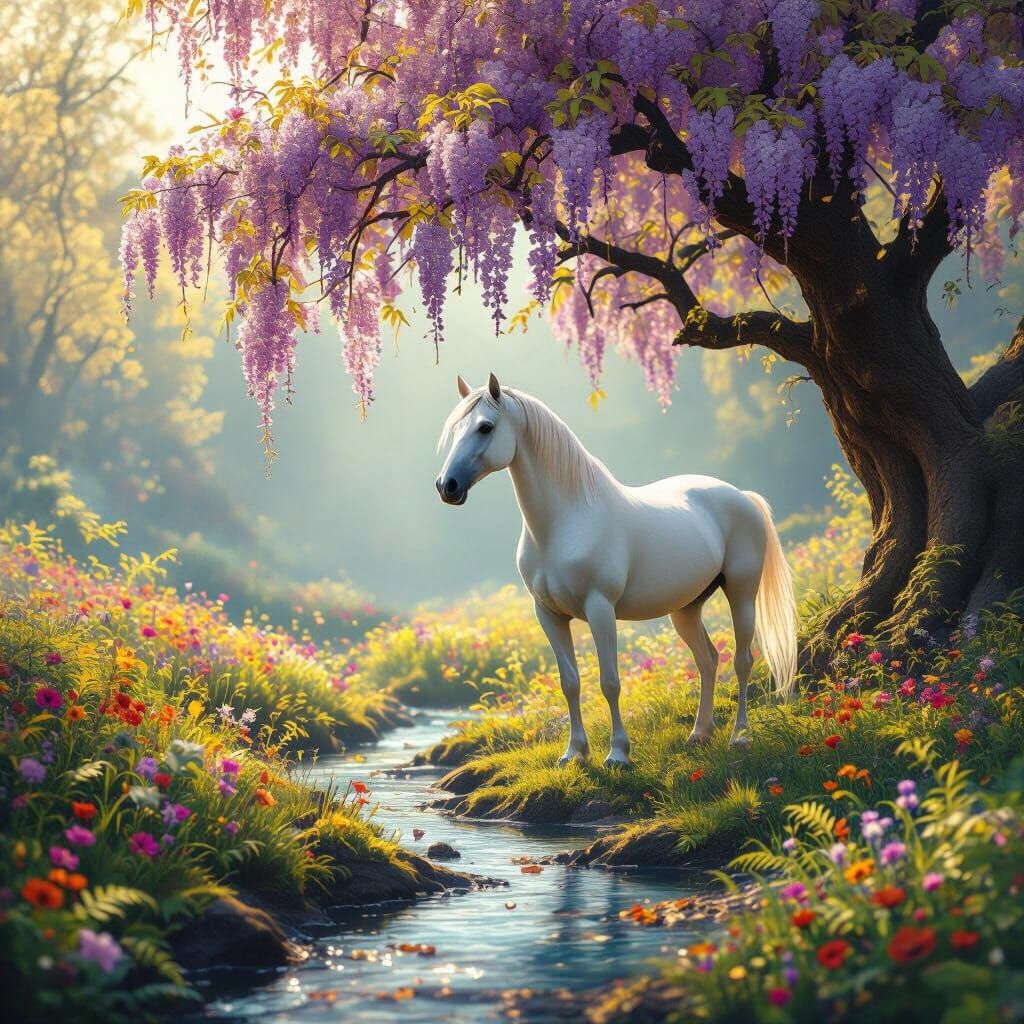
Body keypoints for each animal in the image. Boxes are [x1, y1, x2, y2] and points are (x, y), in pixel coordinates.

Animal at [435, 373, 798, 768]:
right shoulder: (548, 614)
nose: (446, 486)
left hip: (742, 593)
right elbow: (570, 683)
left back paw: (739, 737)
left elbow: (609, 681)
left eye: (485, 427)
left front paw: (618, 755)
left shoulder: (600, 609)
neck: (566, 522)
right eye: (455, 429)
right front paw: (574, 754)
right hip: (686, 609)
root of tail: (743, 497)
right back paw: (699, 735)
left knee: (743, 661)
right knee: (708, 659)